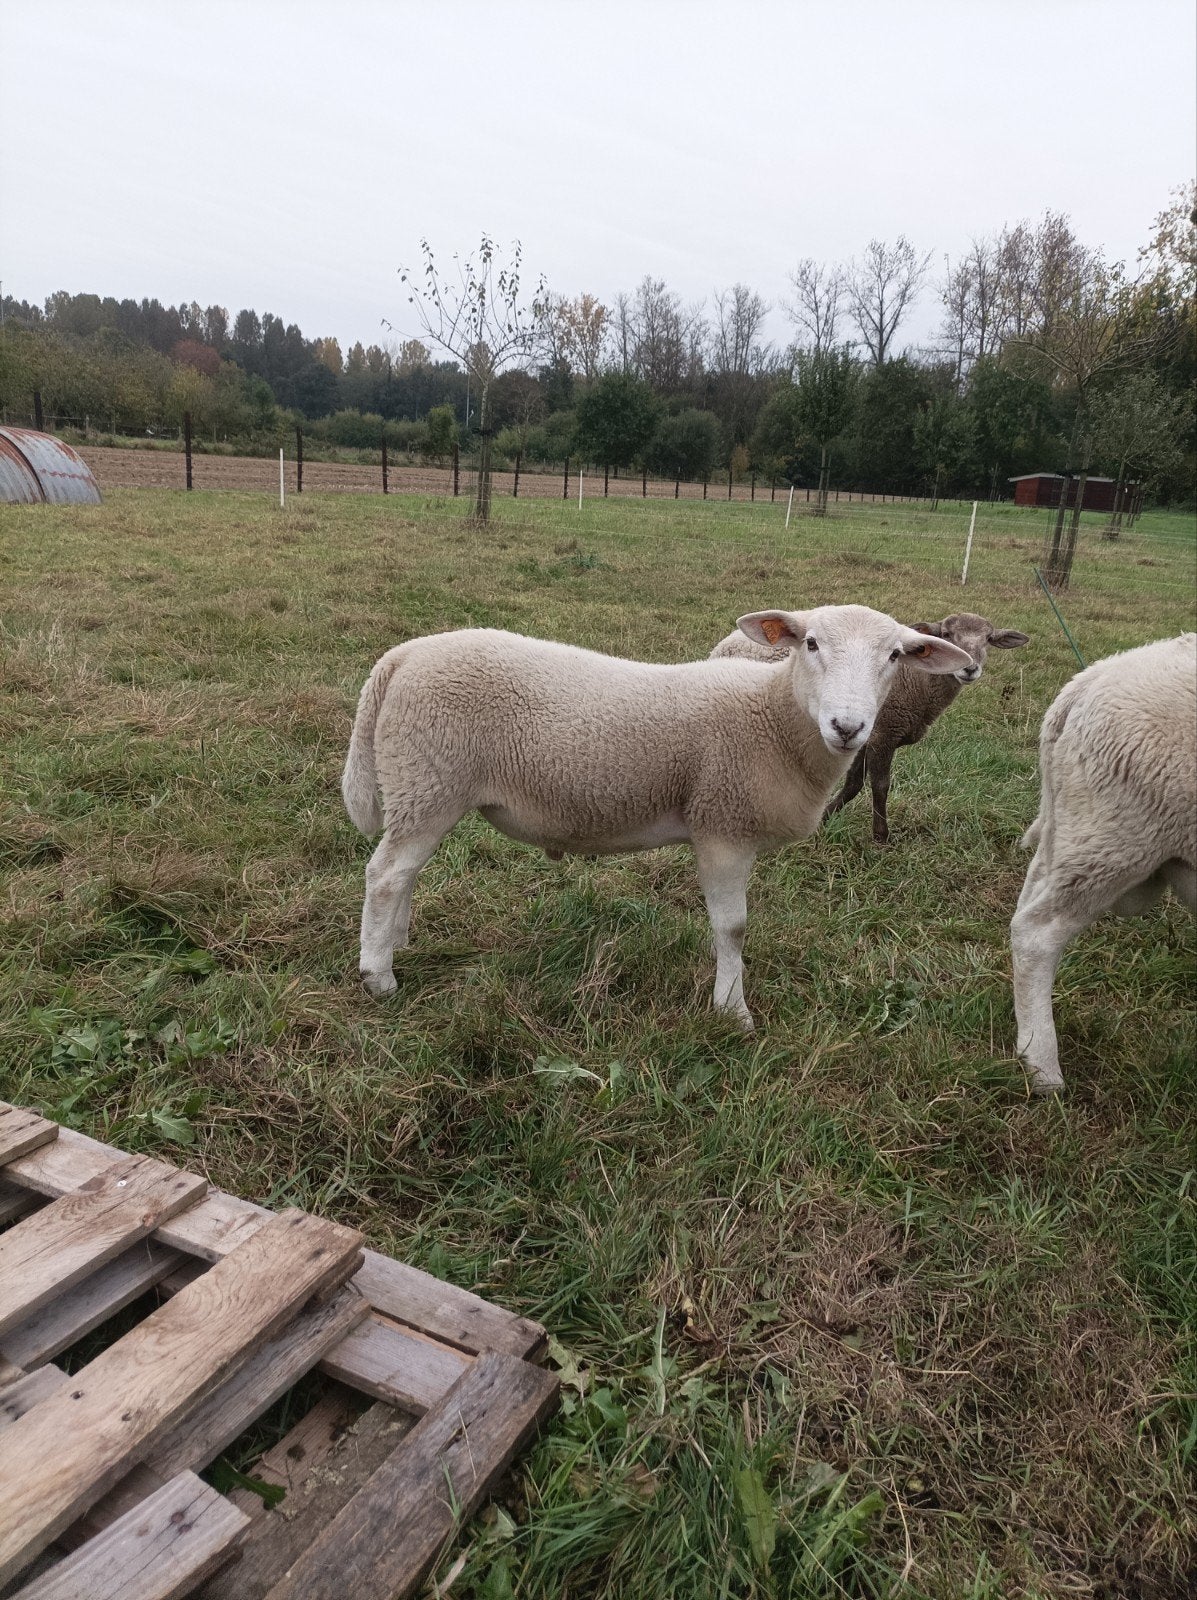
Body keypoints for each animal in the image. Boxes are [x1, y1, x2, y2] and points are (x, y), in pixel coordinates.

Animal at [341, 607, 972, 1029]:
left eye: (895, 656)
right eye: (811, 643)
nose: (848, 726)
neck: (774, 717)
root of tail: (400, 658)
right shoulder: (722, 823)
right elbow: (733, 927)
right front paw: (733, 1012)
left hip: (424, 788)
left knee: (404, 871)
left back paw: (396, 942)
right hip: (430, 778)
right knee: (386, 874)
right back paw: (378, 976)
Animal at [710, 612, 1030, 844]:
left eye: (988, 639)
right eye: (948, 635)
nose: (970, 668)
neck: (917, 682)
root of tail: (727, 641)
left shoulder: (863, 737)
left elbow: (853, 783)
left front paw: (827, 817)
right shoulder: (883, 735)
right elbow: (880, 785)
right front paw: (881, 837)